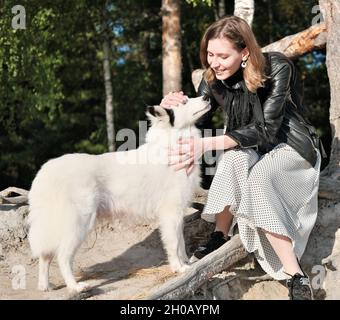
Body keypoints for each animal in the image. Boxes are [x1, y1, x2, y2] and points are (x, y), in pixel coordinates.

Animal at [27, 96, 210, 294]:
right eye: (184, 102)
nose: (206, 97)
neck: (171, 145)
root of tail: (46, 171)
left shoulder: (178, 214)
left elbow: (181, 243)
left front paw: (186, 263)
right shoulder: (171, 213)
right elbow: (175, 243)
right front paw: (178, 268)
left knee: (45, 255)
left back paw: (45, 286)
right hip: (80, 223)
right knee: (62, 256)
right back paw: (75, 287)